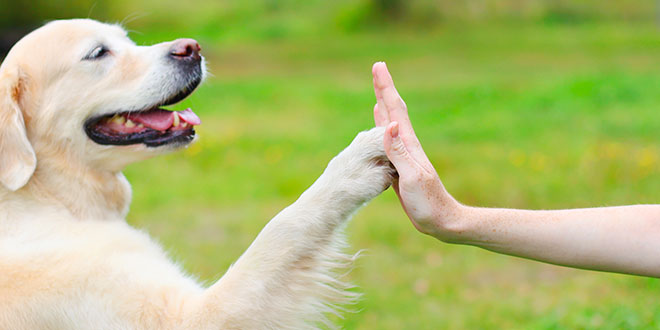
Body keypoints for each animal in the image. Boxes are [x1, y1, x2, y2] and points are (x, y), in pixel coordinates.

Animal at [0, 19, 394, 328]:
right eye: (98, 53)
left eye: (127, 39)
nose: (191, 48)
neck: (47, 197)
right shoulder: (190, 316)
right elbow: (283, 227)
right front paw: (356, 163)